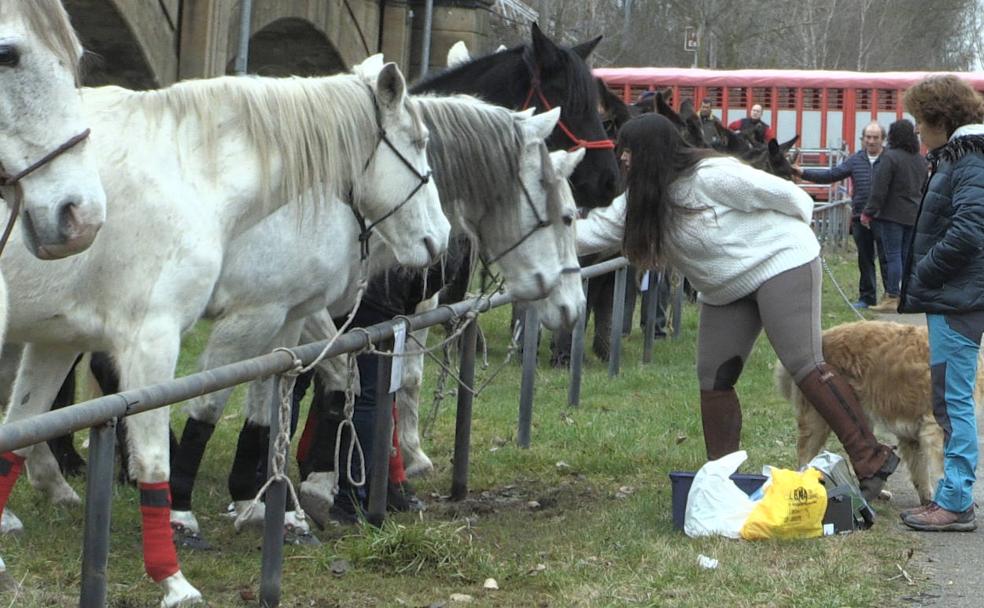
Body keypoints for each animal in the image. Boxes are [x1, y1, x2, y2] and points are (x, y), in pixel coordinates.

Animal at [1, 58, 448, 608]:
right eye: (419, 140)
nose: (440, 241)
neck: (190, 177)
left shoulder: (62, 339)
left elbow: (281, 399)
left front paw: (278, 503)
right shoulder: (178, 334)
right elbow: (184, 431)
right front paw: (177, 551)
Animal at [166, 92, 588, 540]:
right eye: (567, 216)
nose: (574, 307)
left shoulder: (317, 316)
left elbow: (343, 385)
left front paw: (303, 487)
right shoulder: (261, 314)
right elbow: (220, 400)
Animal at [776, 320, 984, 506]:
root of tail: (823, 336)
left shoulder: (915, 436)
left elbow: (921, 471)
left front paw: (929, 499)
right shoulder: (937, 429)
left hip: (856, 416)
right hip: (817, 419)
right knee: (804, 456)